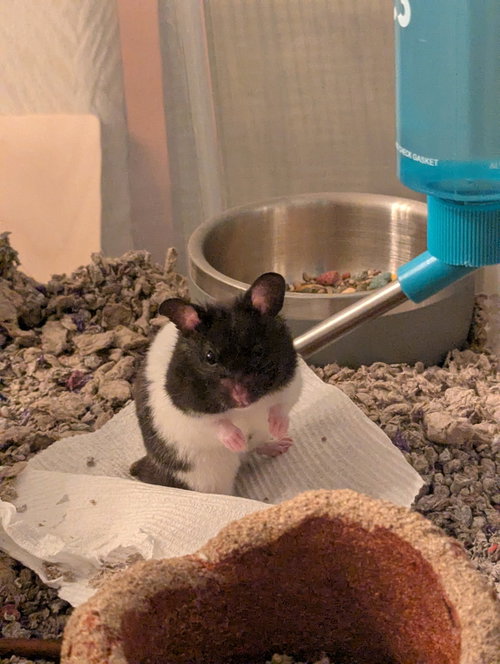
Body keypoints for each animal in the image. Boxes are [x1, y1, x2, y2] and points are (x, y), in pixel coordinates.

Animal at [130, 272, 302, 495]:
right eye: (210, 357)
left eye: (258, 351)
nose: (242, 400)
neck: (245, 410)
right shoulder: (187, 414)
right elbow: (216, 424)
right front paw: (237, 441)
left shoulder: (291, 383)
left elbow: (280, 407)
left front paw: (278, 429)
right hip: (209, 478)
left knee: (256, 448)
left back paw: (281, 444)